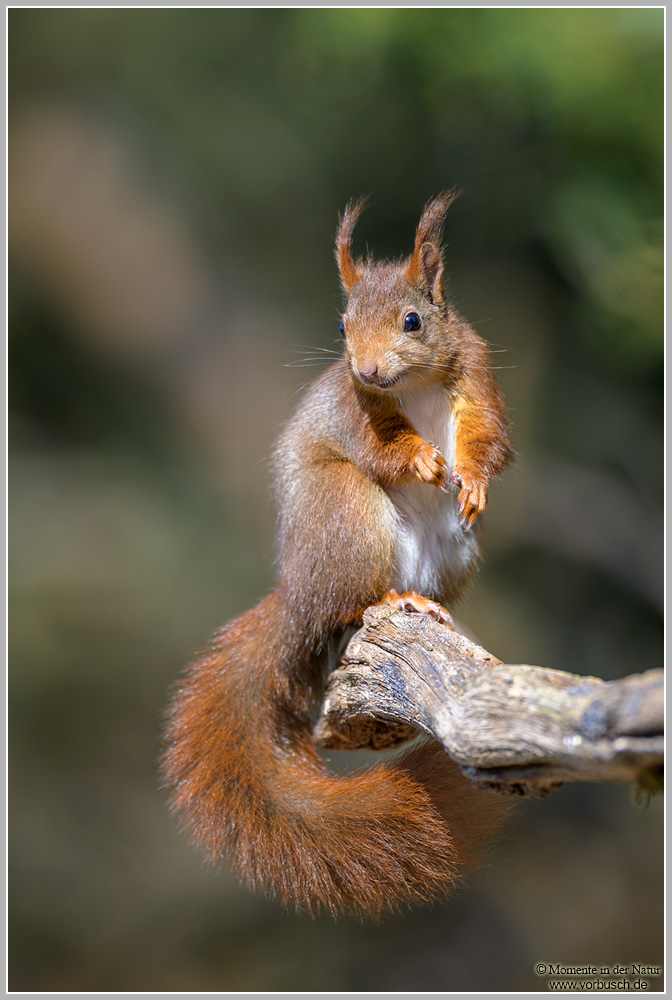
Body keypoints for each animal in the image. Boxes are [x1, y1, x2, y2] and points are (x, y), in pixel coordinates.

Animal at [162, 191, 514, 919]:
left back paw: (429, 606)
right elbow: (383, 448)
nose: (368, 369)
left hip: (454, 554)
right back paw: (388, 599)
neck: (413, 384)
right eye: (344, 322)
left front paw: (471, 481)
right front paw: (425, 462)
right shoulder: (357, 413)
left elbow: (486, 437)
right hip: (350, 515)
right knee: (351, 602)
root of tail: (297, 595)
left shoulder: (479, 374)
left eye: (413, 320)